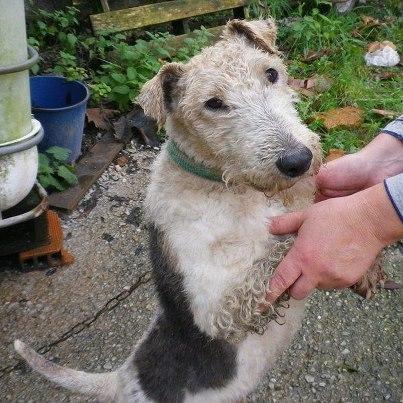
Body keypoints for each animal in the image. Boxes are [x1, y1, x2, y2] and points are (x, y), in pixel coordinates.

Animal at [15, 19, 382, 403]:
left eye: (271, 73)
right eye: (213, 103)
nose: (298, 161)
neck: (230, 187)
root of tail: (120, 376)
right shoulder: (216, 310)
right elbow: (283, 248)